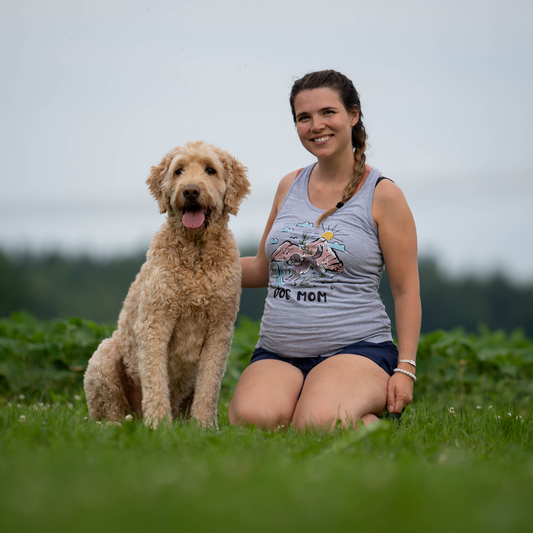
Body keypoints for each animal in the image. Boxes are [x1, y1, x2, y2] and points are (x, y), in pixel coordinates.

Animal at [83, 140, 249, 428]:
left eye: (210, 169)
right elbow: (155, 379)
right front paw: (158, 425)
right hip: (103, 357)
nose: (190, 190)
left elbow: (209, 386)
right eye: (179, 170)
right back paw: (121, 424)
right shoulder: (154, 323)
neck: (195, 254)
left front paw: (205, 426)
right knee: (111, 409)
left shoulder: (220, 330)